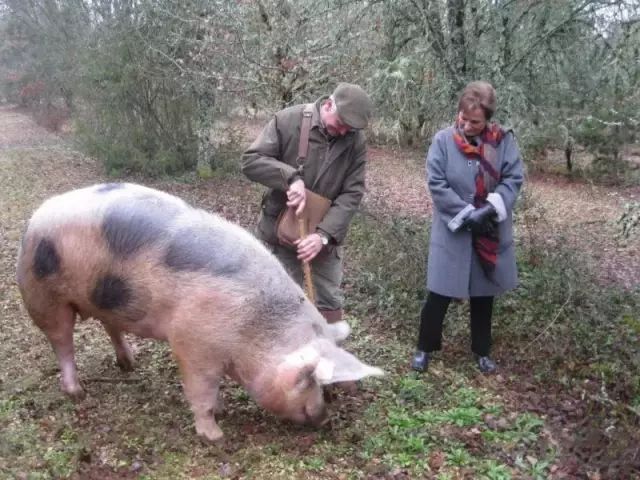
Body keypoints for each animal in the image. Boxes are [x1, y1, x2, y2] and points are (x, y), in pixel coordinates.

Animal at [15, 184, 382, 442]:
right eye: (309, 378)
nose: (324, 417)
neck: (253, 328)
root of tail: (36, 217)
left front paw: (222, 410)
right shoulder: (191, 343)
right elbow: (201, 390)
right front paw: (215, 435)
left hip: (105, 297)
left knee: (110, 325)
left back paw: (130, 364)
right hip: (42, 294)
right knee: (62, 343)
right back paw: (77, 392)